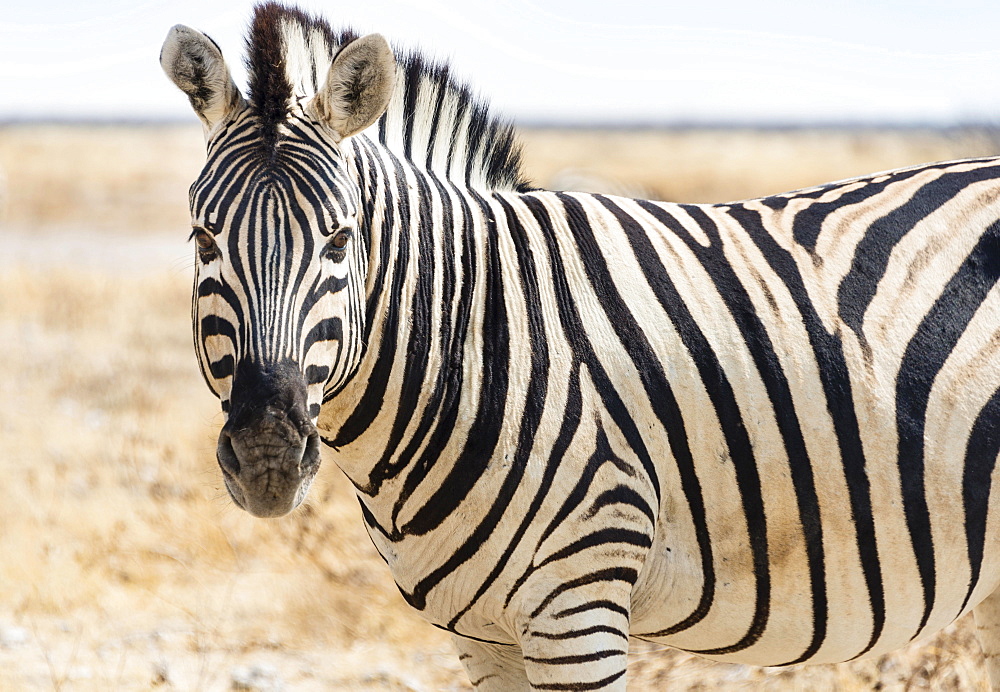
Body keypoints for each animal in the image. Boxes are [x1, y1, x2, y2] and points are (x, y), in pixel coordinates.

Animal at [160, 2, 1000, 688]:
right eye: (203, 238)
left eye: (339, 241)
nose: (268, 456)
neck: (473, 343)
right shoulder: (481, 636)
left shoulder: (579, 606)